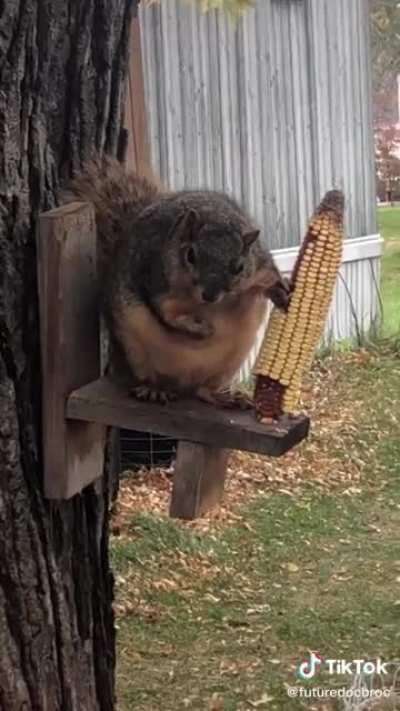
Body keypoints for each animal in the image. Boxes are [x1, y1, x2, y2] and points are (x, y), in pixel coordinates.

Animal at [65, 158, 290, 408]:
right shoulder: (155, 280)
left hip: (232, 358)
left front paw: (282, 293)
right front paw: (201, 329)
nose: (210, 294)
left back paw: (225, 397)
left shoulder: (258, 265)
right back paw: (154, 389)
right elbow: (167, 315)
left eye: (239, 267)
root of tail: (181, 384)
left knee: (203, 390)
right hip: (132, 348)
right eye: (191, 255)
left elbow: (269, 277)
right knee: (145, 375)